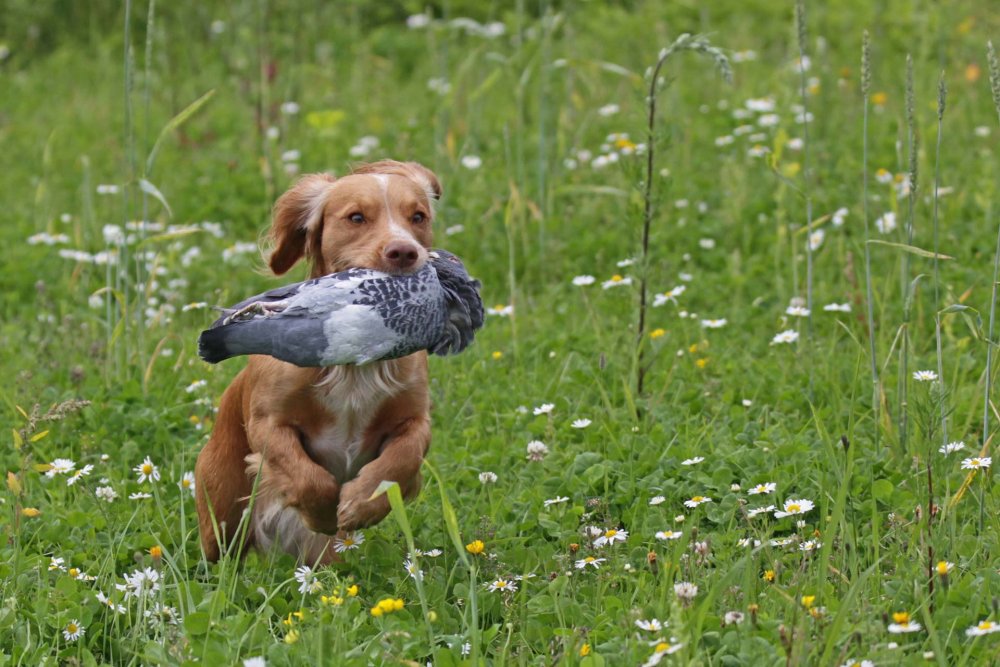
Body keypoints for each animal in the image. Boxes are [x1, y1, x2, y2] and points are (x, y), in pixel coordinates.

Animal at [195, 160, 440, 564]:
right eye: (356, 217)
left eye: (418, 216)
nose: (404, 252)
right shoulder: (268, 423)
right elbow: (308, 476)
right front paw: (324, 513)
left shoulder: (415, 418)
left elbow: (401, 459)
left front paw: (362, 504)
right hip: (223, 512)